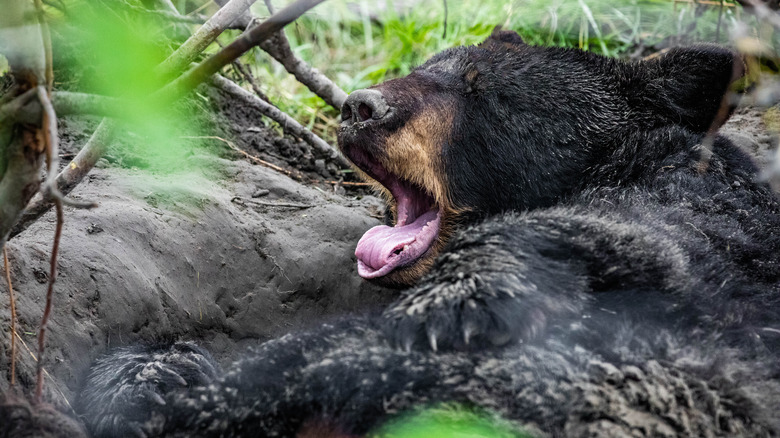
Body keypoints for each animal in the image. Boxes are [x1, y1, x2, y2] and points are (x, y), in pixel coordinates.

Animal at [74, 29, 780, 436]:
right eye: (427, 65)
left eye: (489, 95)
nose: (361, 107)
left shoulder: (696, 211)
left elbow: (635, 233)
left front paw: (449, 303)